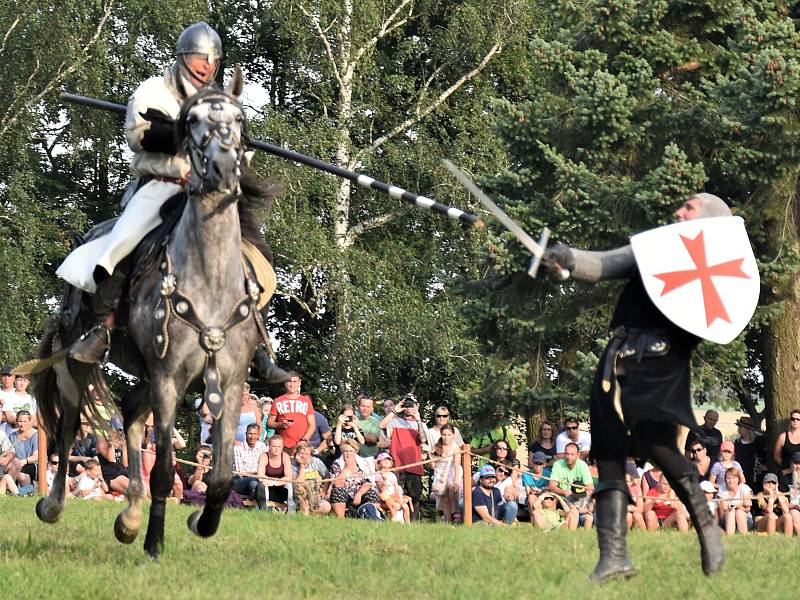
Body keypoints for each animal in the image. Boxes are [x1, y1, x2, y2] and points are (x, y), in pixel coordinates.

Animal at [34, 68, 268, 560]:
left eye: (238, 118)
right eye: (192, 120)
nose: (223, 168)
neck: (208, 278)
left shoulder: (230, 384)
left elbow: (221, 476)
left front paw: (200, 521)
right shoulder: (168, 379)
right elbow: (164, 469)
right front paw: (155, 543)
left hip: (143, 376)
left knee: (130, 414)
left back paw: (130, 516)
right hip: (76, 364)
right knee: (68, 429)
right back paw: (55, 505)